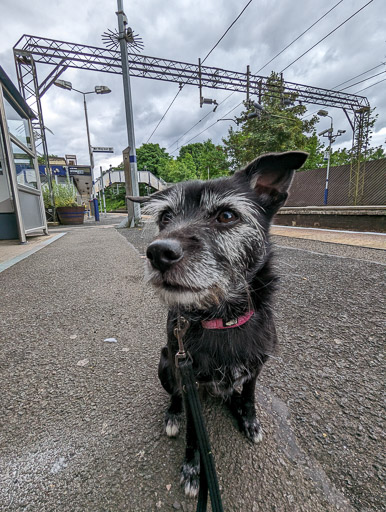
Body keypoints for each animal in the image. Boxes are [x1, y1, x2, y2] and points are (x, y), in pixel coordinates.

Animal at [130, 151, 308, 496]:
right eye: (165, 218)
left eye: (226, 216)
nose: (157, 253)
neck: (223, 319)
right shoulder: (189, 381)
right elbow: (194, 433)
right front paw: (192, 468)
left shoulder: (255, 368)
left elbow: (250, 398)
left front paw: (249, 420)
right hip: (165, 362)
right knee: (174, 397)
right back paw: (173, 416)